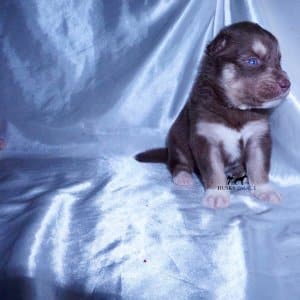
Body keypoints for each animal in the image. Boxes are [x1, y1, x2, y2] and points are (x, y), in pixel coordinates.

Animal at [135, 21, 290, 209]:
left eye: (278, 61)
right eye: (252, 61)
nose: (287, 83)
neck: (235, 108)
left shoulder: (258, 137)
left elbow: (259, 166)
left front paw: (265, 191)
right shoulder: (206, 139)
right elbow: (214, 170)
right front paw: (217, 195)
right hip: (176, 141)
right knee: (178, 163)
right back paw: (183, 177)